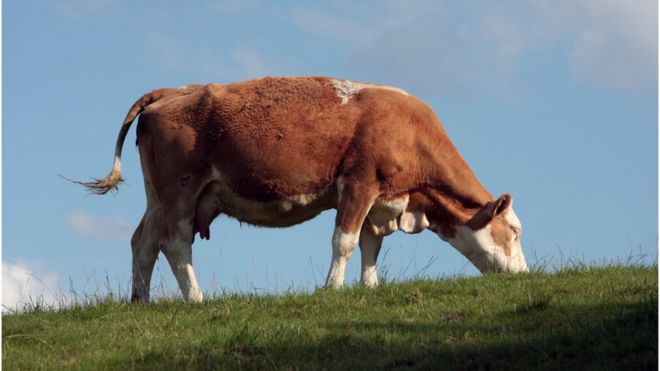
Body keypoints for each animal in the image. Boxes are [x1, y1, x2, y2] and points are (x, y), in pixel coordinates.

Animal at [78, 77, 532, 304]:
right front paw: (332, 288)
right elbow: (344, 241)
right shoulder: (359, 183)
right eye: (513, 230)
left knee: (143, 242)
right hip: (180, 191)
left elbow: (370, 245)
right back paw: (196, 298)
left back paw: (141, 300)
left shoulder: (380, 199)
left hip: (158, 196)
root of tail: (170, 92)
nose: (525, 276)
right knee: (175, 245)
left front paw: (370, 288)